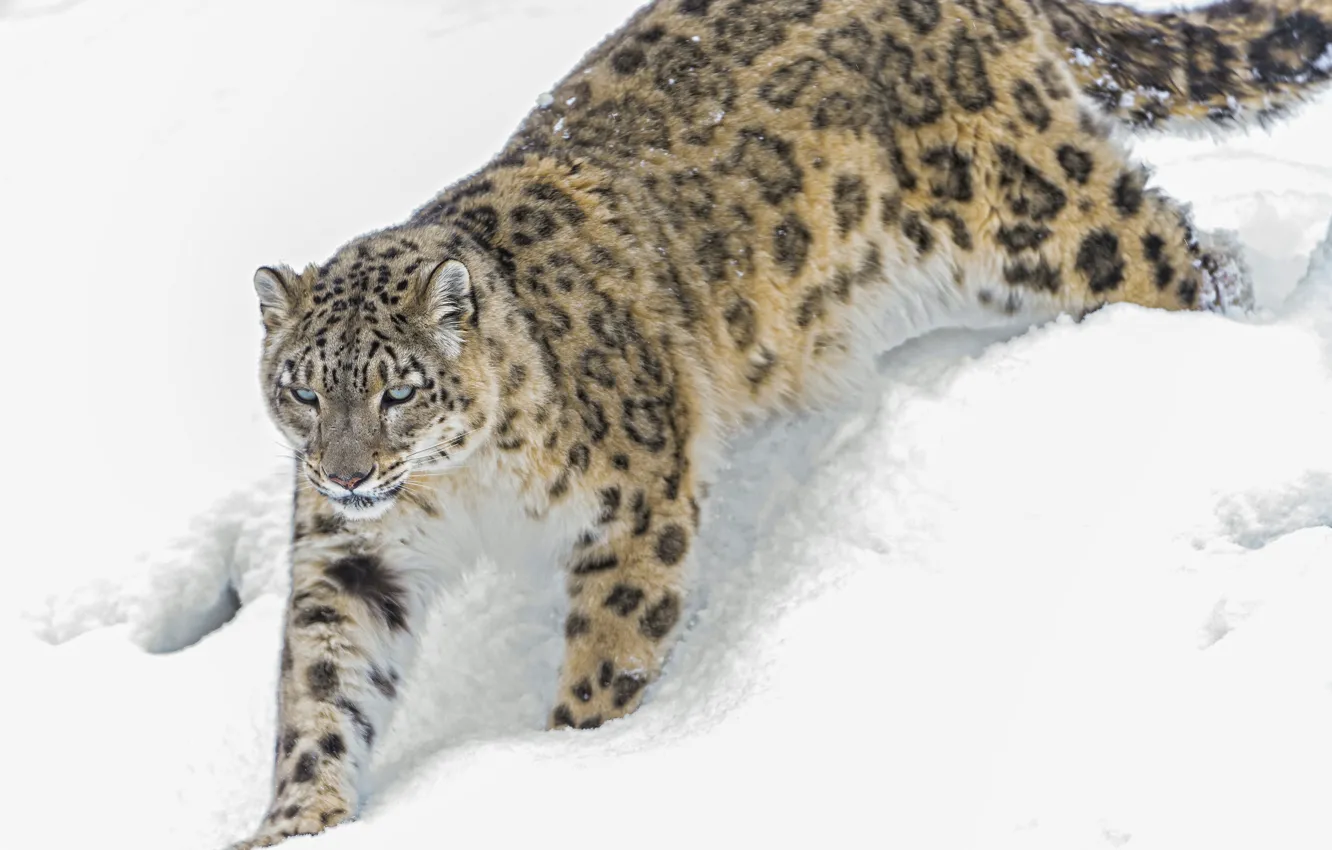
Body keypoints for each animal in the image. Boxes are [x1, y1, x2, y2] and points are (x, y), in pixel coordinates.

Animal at [232, 0, 1332, 845]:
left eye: (398, 389)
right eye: (303, 388)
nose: (346, 472)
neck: (461, 487)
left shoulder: (635, 499)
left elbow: (609, 650)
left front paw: (569, 762)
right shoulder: (351, 556)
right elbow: (320, 684)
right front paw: (297, 820)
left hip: (1040, 217)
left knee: (1195, 261)